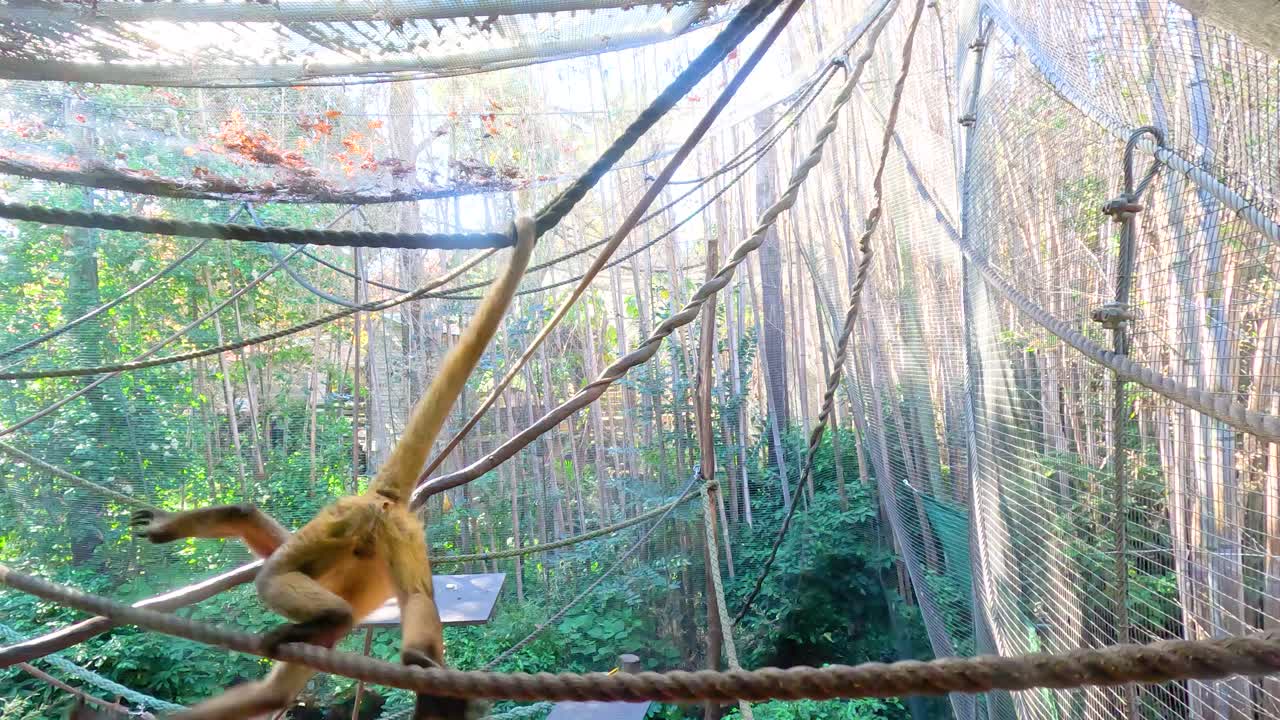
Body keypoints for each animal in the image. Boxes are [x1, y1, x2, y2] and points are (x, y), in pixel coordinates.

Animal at [130, 217, 536, 720]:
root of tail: (379, 499)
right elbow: (272, 695)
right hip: (400, 537)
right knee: (415, 597)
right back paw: (420, 664)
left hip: (338, 524)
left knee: (273, 575)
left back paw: (337, 619)